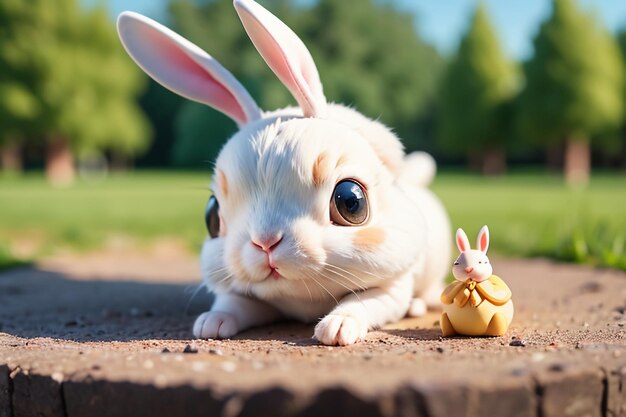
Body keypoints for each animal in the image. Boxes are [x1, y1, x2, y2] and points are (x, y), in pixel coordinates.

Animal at [116, 0, 448, 344]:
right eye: (211, 217)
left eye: (351, 202)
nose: (264, 242)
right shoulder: (251, 296)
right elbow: (233, 303)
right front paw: (211, 322)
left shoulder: (391, 289)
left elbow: (364, 302)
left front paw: (338, 327)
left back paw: (419, 306)